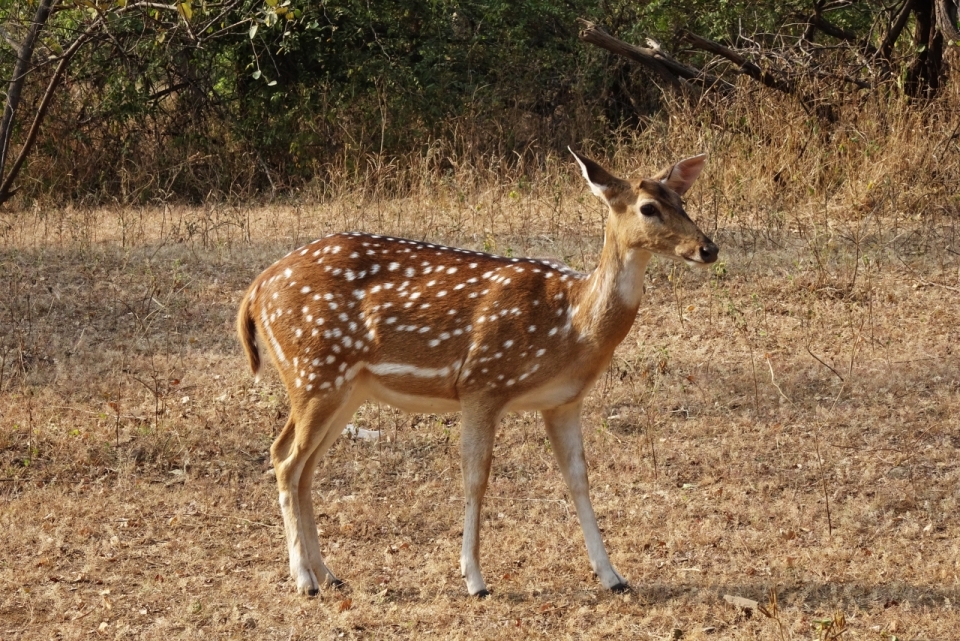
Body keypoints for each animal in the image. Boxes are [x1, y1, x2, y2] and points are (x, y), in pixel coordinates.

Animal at [238, 150, 720, 596]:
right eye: (648, 207)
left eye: (681, 200)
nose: (708, 248)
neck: (572, 324)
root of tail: (256, 290)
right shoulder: (483, 383)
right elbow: (476, 478)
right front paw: (474, 579)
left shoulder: (564, 401)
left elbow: (579, 479)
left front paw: (613, 576)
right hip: (314, 373)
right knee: (285, 458)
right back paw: (304, 580)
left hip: (344, 388)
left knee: (304, 465)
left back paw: (329, 574)